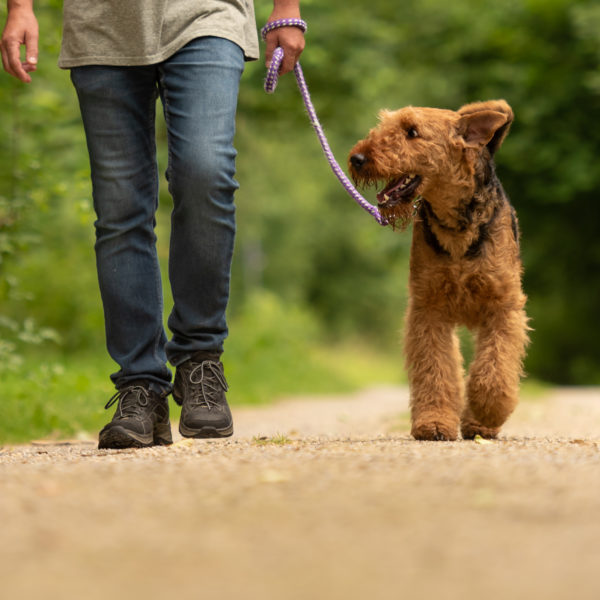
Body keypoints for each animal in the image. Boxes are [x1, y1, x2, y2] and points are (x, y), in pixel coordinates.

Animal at [350, 99, 528, 440]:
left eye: (412, 131)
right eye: (384, 125)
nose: (357, 158)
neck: (456, 227)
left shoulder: (503, 306)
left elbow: (494, 370)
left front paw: (485, 411)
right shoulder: (429, 308)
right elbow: (435, 370)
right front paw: (433, 423)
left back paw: (478, 422)